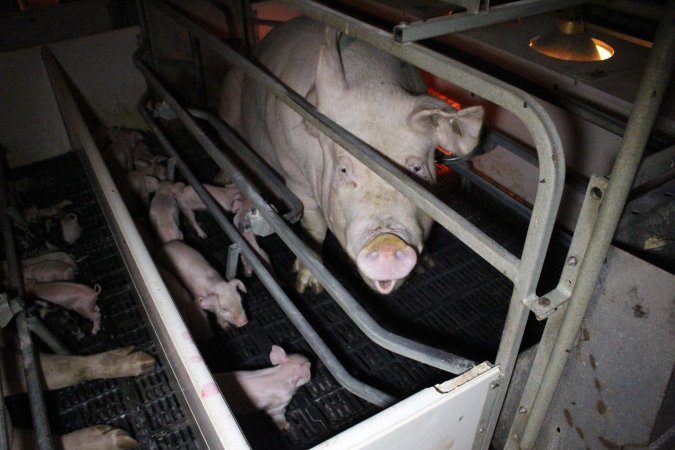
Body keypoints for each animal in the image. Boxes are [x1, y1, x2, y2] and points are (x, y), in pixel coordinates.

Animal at [219, 16, 484, 296]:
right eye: (344, 170)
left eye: (417, 170)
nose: (387, 244)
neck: (373, 87)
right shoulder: (295, 175)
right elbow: (314, 225)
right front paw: (308, 287)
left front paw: (425, 267)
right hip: (229, 95)